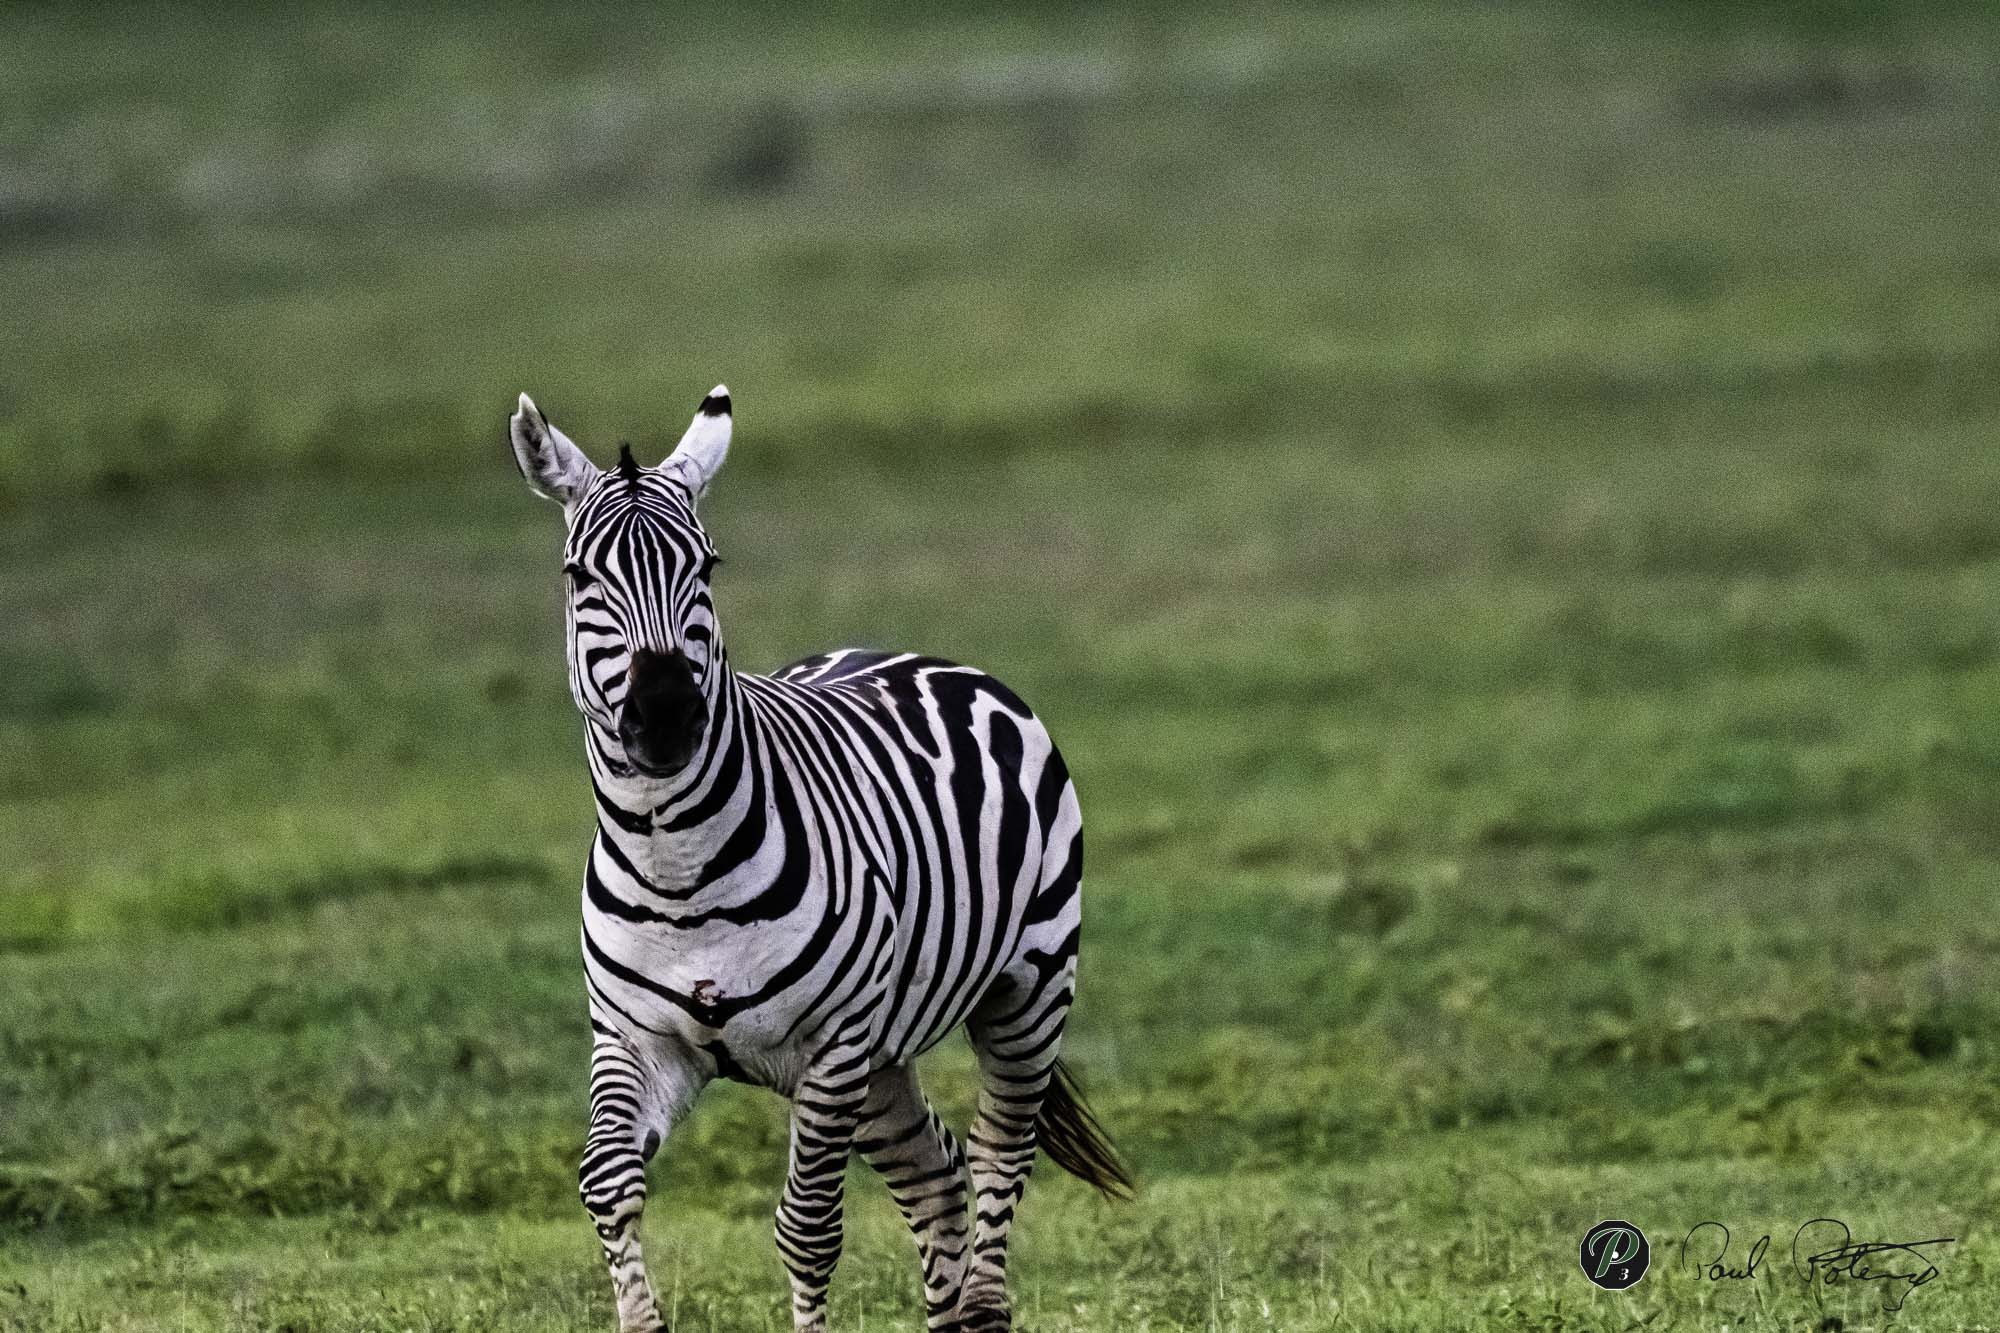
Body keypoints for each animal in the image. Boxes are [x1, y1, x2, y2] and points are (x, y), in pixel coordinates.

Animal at [507, 386, 1130, 1333]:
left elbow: (807, 1227)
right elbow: (606, 1181)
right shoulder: (636, 1035)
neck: (676, 866)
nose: (665, 715)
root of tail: (917, 652)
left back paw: (981, 1302)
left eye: (708, 566)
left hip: (1027, 988)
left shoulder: (831, 1043)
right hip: (880, 1055)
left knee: (997, 1156)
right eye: (581, 577)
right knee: (937, 1174)